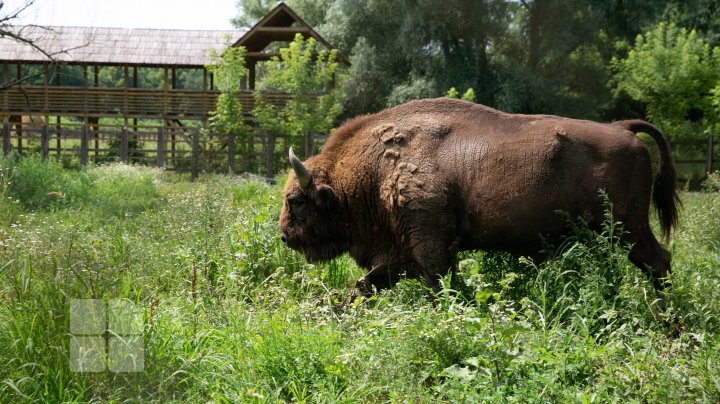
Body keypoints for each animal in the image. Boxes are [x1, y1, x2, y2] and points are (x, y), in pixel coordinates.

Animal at [278, 97, 676, 296]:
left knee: (658, 260)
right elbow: (364, 287)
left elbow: (441, 287)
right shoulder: (401, 254)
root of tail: (622, 129)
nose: (283, 236)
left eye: (295, 201)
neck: (377, 167)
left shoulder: (430, 249)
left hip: (627, 226)